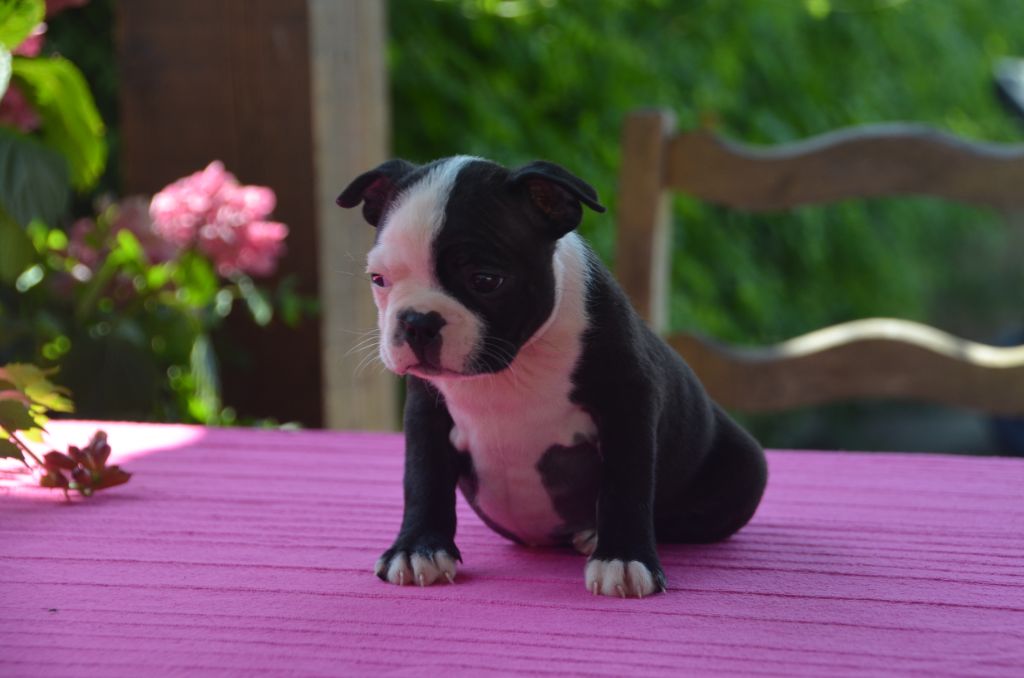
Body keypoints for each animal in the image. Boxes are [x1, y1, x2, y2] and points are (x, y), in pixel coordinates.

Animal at [337, 156, 767, 597]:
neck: (511, 366)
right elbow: (423, 477)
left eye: (485, 280)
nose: (418, 321)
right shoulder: (428, 411)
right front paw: (417, 549)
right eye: (378, 279)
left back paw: (595, 535)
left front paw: (623, 558)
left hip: (746, 469)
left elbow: (626, 482)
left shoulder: (628, 403)